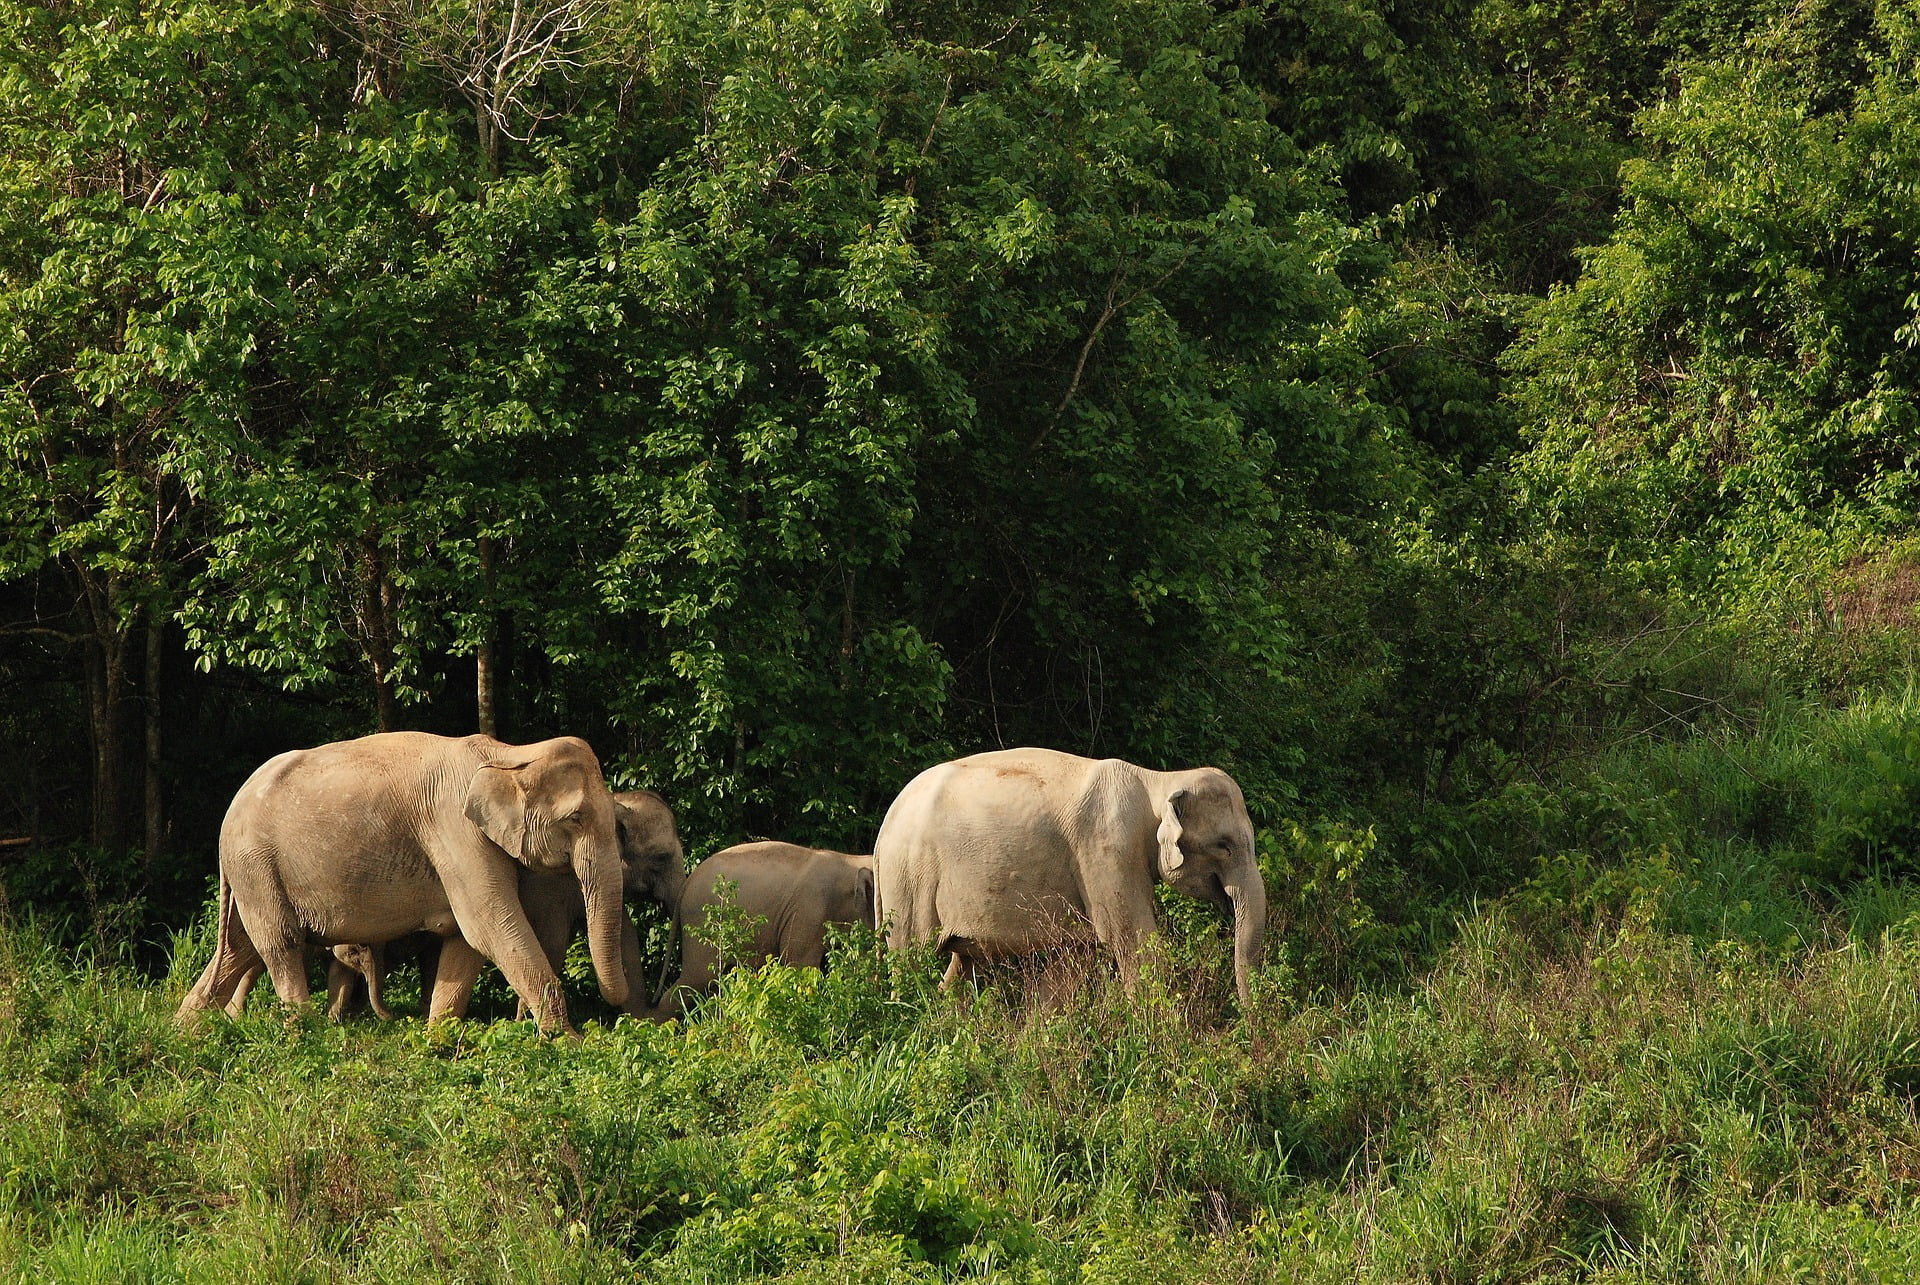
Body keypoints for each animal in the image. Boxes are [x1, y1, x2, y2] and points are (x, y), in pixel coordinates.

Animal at [176, 729, 633, 1029]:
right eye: (576, 819)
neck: (509, 753)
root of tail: (227, 817)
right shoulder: (454, 830)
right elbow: (489, 926)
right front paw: (569, 1043)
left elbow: (466, 940)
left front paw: (437, 1043)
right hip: (256, 866)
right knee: (279, 945)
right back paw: (303, 1035)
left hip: (253, 874)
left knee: (239, 948)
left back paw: (185, 1033)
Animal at [652, 837, 879, 1014]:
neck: (850, 860)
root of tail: (687, 882)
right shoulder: (807, 911)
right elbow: (799, 967)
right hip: (701, 922)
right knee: (697, 979)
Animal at [875, 745, 1267, 1006]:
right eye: (1224, 845)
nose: (1245, 1024)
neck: (1157, 780)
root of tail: (883, 831)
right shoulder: (1107, 850)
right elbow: (1134, 942)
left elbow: (1073, 960)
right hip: (908, 880)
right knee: (911, 958)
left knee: (961, 966)